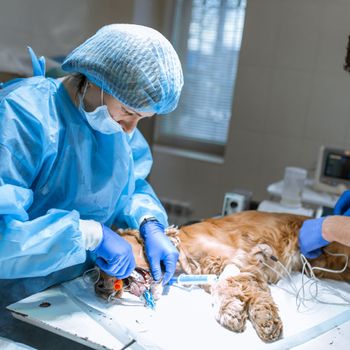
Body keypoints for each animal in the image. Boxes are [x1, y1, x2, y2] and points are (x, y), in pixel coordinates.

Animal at [94, 211, 350, 342]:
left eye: (106, 262)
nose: (99, 288)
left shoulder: (240, 258)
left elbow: (228, 283)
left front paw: (233, 312)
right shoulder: (241, 267)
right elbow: (241, 290)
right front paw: (251, 315)